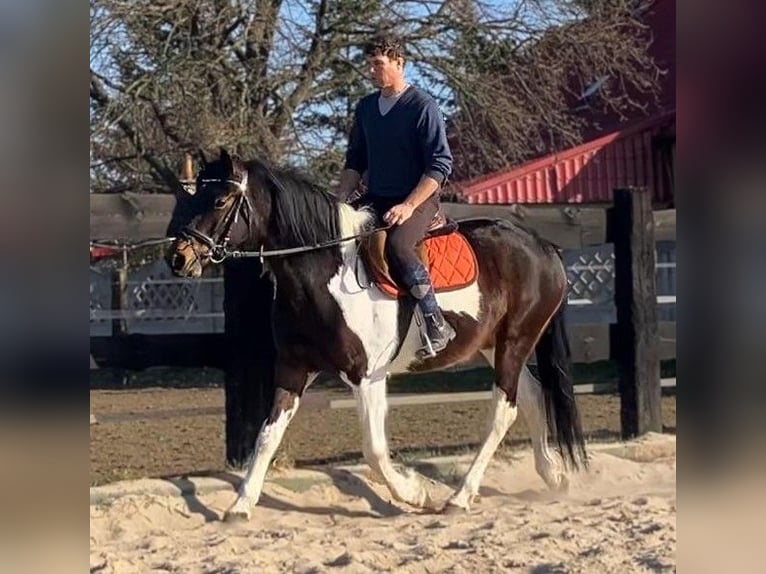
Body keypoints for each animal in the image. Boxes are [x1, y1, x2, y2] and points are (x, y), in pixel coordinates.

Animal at [170, 148, 587, 521]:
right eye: (194, 197)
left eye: (220, 199)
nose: (179, 258)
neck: (324, 275)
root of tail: (544, 246)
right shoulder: (292, 370)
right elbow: (266, 436)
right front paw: (240, 506)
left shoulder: (367, 376)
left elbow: (373, 448)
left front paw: (415, 493)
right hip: (492, 344)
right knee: (532, 395)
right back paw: (553, 476)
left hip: (516, 340)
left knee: (504, 408)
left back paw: (460, 497)